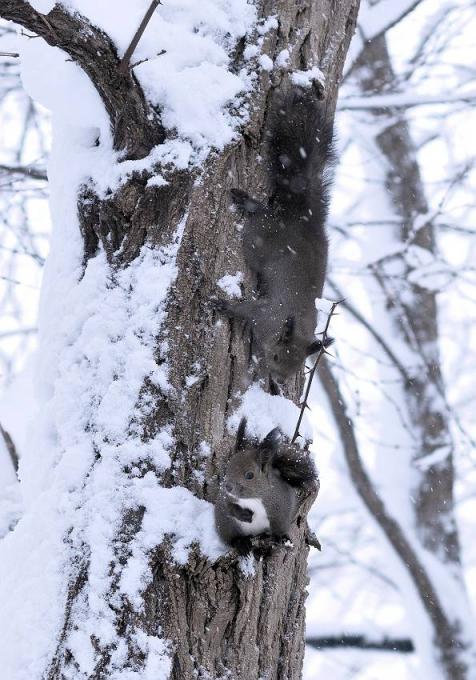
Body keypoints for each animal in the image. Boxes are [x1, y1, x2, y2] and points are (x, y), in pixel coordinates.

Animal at [215, 418, 318, 556]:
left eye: (249, 475)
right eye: (227, 468)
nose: (228, 487)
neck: (253, 498)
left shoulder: (281, 505)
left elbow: (279, 524)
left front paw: (279, 538)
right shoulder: (224, 497)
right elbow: (229, 507)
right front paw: (244, 515)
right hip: (225, 525)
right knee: (231, 538)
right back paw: (241, 543)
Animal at [218, 84, 334, 382]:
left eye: (299, 364)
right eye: (276, 356)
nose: (279, 381)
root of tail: (300, 218)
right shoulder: (265, 314)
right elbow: (245, 310)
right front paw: (223, 306)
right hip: (259, 237)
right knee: (261, 216)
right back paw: (248, 202)